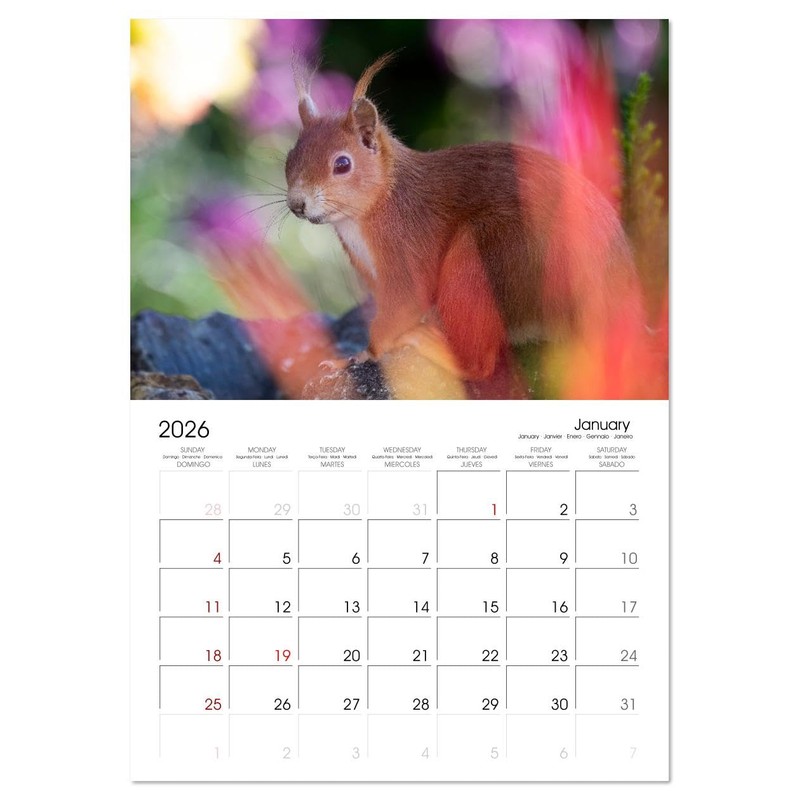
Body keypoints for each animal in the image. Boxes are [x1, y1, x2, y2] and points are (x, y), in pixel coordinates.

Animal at [285, 54, 644, 382]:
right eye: (290, 157)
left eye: (342, 164)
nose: (297, 204)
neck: (376, 206)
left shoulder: (406, 252)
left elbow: (403, 306)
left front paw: (357, 356)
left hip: (482, 259)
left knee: (481, 365)